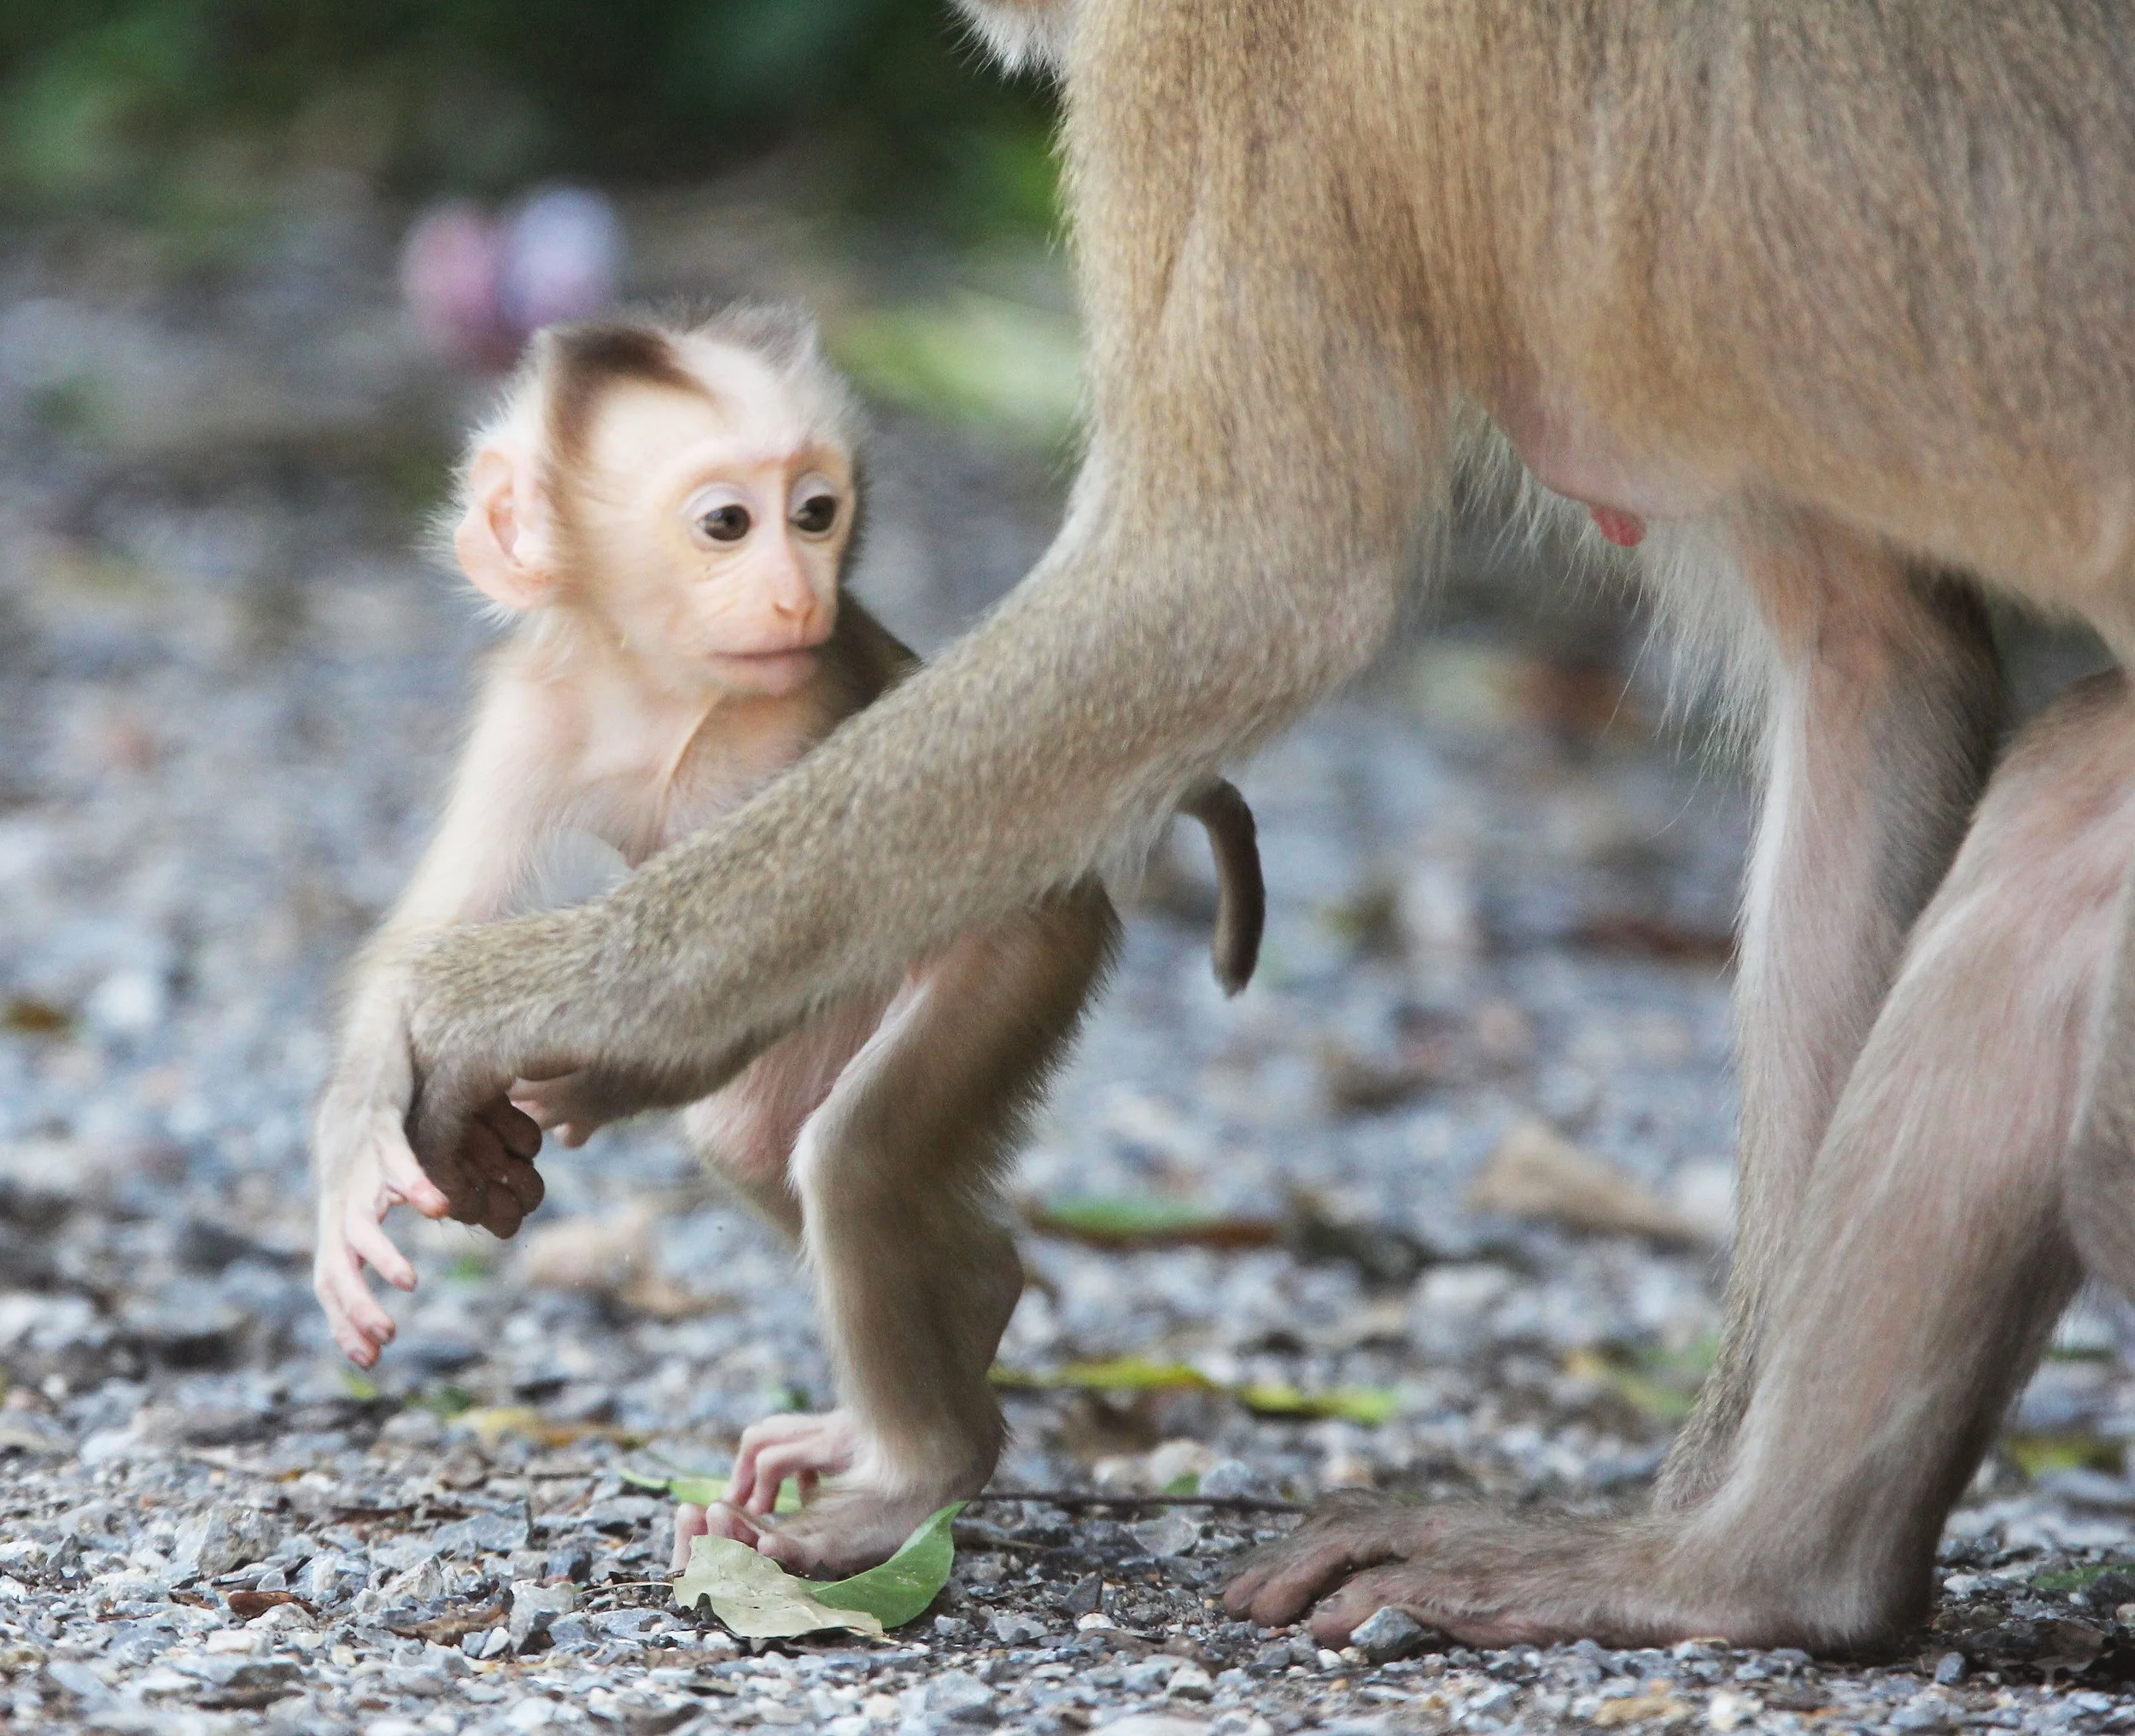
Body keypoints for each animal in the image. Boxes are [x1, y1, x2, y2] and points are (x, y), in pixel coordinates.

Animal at [307, 305, 1265, 1573]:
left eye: (817, 512)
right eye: (728, 523)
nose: (796, 592)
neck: (661, 693)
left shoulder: (787, 720)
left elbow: (749, 944)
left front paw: (586, 1084)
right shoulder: (533, 707)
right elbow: (432, 926)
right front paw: (360, 1143)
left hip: (1031, 947)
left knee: (853, 1158)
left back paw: (914, 1475)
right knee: (751, 1139)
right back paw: (972, 1304)